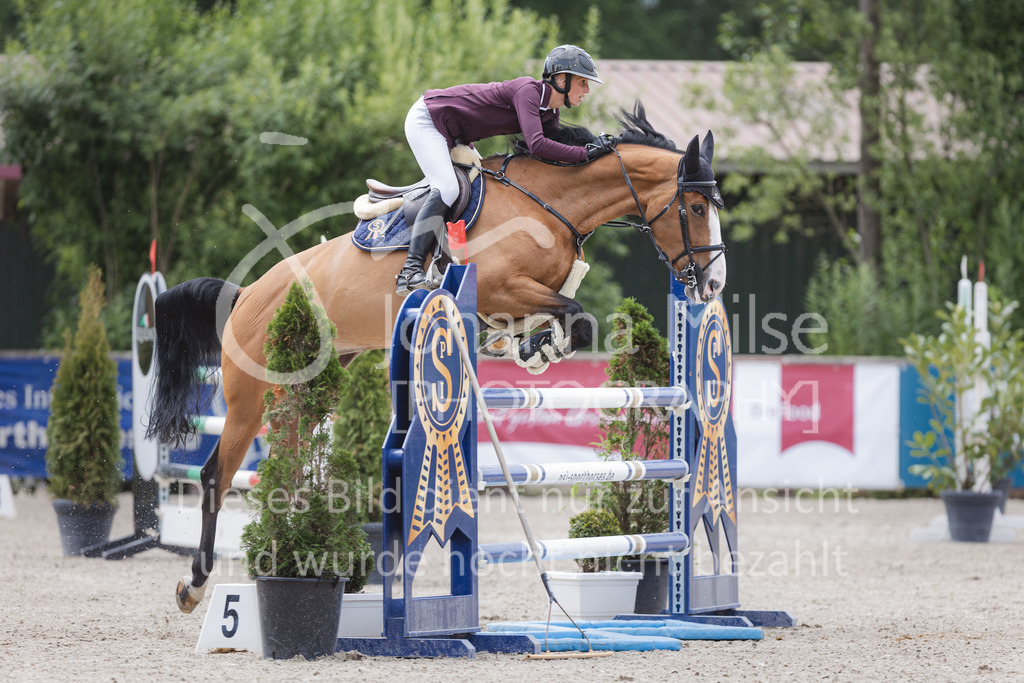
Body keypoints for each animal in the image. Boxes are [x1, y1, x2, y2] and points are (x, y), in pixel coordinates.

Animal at [146, 104, 727, 613]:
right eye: (697, 208)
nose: (714, 285)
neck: (548, 202)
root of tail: (246, 294)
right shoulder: (498, 287)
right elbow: (575, 315)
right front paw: (539, 346)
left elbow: (573, 319)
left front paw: (532, 348)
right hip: (250, 397)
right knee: (216, 476)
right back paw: (195, 585)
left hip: (303, 391)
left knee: (283, 469)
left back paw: (291, 553)